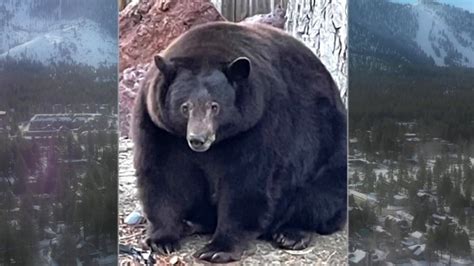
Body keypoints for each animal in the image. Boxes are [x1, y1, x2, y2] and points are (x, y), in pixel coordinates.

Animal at [131, 21, 346, 262]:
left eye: (215, 106)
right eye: (185, 106)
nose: (198, 139)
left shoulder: (259, 122)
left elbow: (246, 181)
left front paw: (217, 249)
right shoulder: (159, 126)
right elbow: (163, 174)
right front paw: (162, 239)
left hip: (328, 147)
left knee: (320, 195)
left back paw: (291, 233)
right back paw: (191, 223)